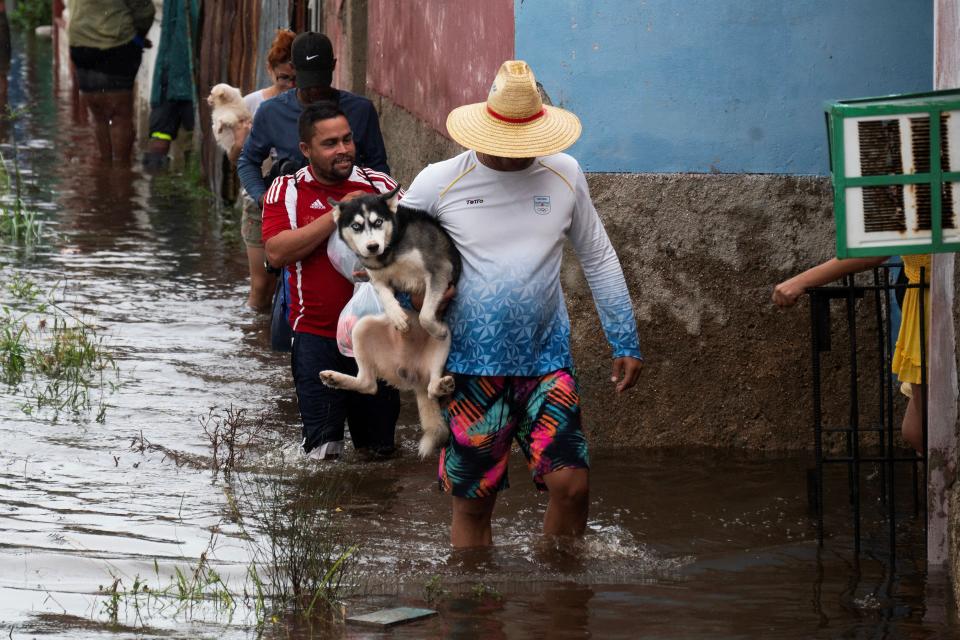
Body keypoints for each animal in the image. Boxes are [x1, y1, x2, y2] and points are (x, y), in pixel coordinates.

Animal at [318, 188, 462, 458]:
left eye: (377, 222)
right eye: (356, 226)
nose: (372, 246)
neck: (391, 250)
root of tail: (414, 376)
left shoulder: (439, 270)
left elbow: (425, 315)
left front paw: (431, 325)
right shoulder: (376, 277)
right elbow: (384, 294)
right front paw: (397, 315)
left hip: (445, 344)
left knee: (432, 387)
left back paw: (441, 383)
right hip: (362, 329)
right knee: (368, 384)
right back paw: (335, 378)